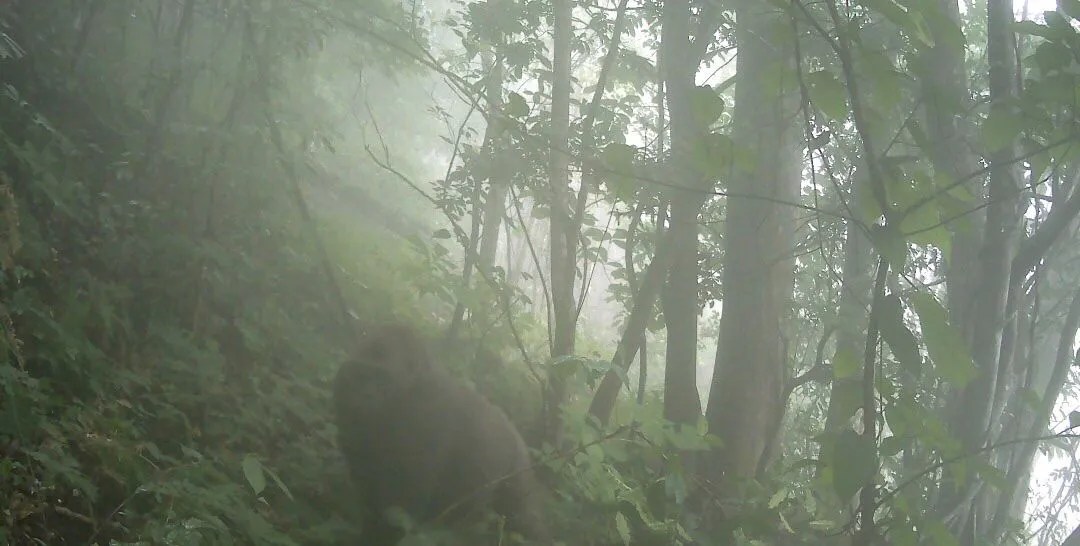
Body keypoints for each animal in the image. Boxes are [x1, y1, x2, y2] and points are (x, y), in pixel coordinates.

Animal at [333, 324, 549, 545]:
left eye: (381, 377)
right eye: (361, 374)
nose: (364, 395)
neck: (410, 385)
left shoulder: (425, 412)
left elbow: (401, 502)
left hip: (518, 465)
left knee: (523, 518)